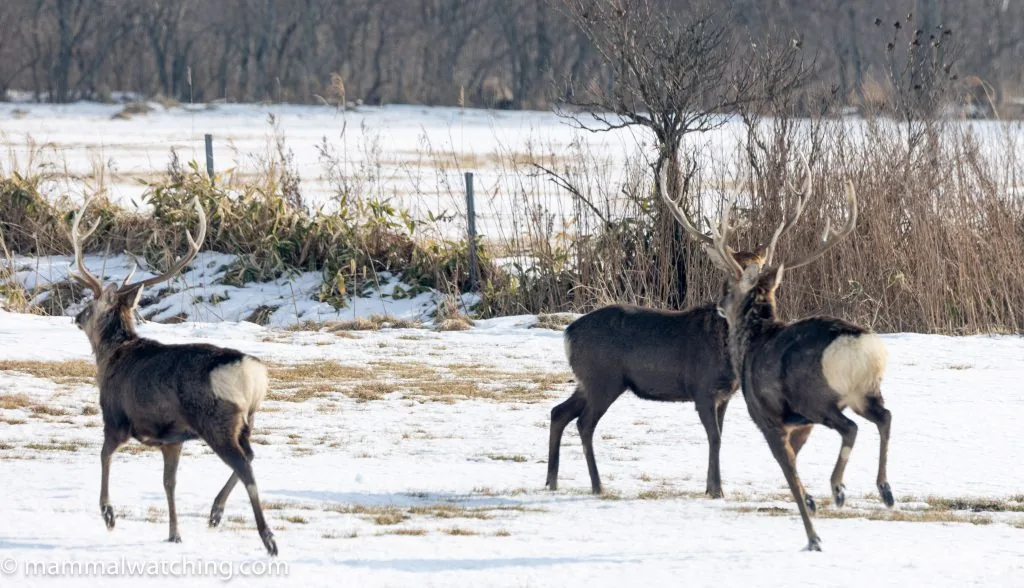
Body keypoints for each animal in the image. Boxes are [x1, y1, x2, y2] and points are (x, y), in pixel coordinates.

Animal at [66, 196, 278, 556]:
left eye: (91, 303)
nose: (77, 317)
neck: (111, 357)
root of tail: (252, 373)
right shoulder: (172, 437)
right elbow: (169, 482)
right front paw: (174, 533)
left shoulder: (117, 416)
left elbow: (104, 455)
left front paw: (108, 514)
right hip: (247, 420)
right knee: (251, 455)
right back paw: (215, 512)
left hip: (217, 420)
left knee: (245, 466)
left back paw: (268, 538)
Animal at [545, 164, 810, 498]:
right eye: (731, 275)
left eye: (761, 270)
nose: (728, 305)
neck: (726, 354)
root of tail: (568, 334)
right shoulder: (702, 387)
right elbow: (715, 438)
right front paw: (717, 490)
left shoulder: (725, 394)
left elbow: (719, 436)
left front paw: (711, 487)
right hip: (602, 378)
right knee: (584, 423)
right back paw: (597, 484)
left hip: (587, 380)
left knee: (558, 412)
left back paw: (552, 480)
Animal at [674, 170, 893, 552]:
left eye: (728, 285)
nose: (719, 305)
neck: (751, 343)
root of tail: (859, 346)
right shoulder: (799, 424)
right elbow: (797, 467)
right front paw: (811, 504)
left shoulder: (767, 416)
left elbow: (789, 472)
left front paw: (813, 535)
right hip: (865, 393)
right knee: (885, 417)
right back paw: (884, 490)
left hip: (817, 398)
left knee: (850, 427)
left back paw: (838, 488)